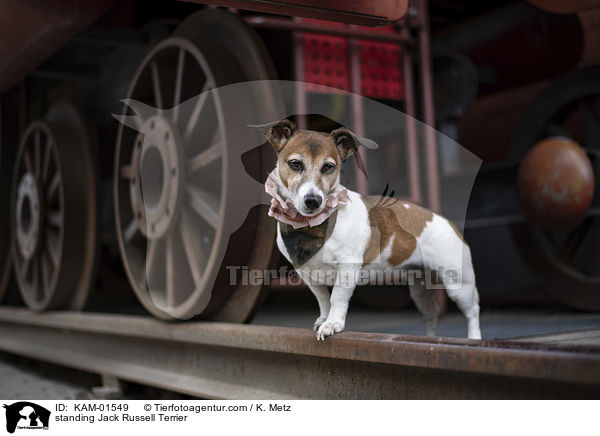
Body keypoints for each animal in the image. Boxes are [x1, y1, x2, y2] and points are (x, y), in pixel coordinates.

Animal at [264, 119, 480, 340]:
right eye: (295, 164)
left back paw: (474, 338)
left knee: (472, 312)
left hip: (459, 285)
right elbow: (323, 299)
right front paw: (324, 318)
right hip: (419, 289)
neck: (311, 225)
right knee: (432, 314)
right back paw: (429, 338)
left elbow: (336, 298)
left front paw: (332, 324)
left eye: (329, 167)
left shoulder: (348, 267)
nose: (313, 200)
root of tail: (446, 222)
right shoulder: (307, 272)